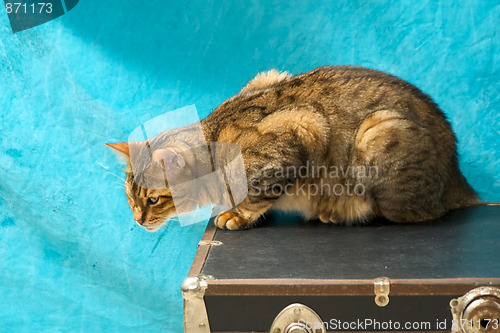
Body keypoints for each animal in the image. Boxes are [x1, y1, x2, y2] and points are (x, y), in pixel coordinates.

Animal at [107, 65, 478, 231]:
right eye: (128, 199)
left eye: (153, 200)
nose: (137, 220)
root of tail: (458, 179)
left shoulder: (300, 129)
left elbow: (256, 195)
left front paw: (237, 214)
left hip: (377, 133)